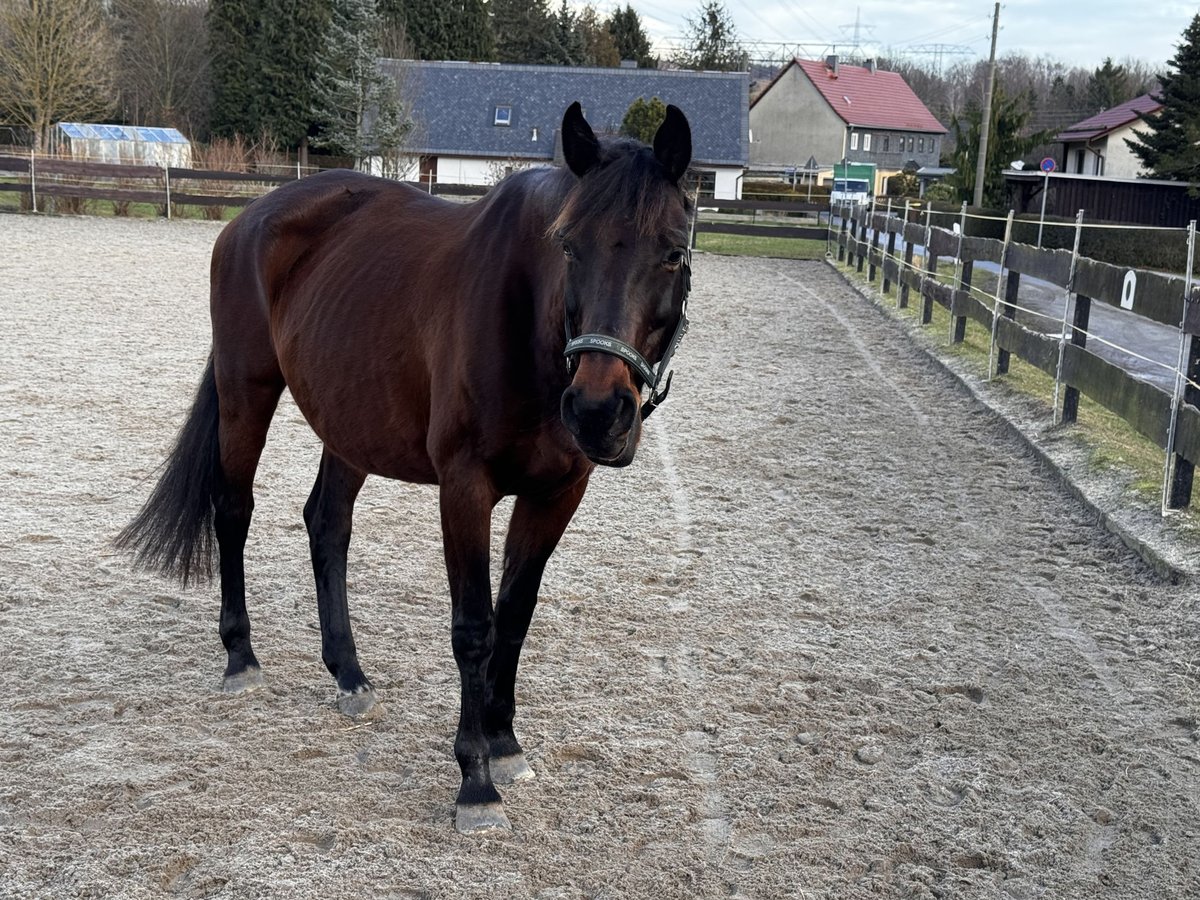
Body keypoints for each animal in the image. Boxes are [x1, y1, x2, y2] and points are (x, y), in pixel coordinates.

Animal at [114, 102, 696, 835]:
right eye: (568, 246)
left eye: (673, 252)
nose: (596, 411)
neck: (528, 326)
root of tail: (252, 218)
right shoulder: (465, 488)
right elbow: (474, 628)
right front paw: (475, 779)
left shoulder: (558, 493)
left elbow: (515, 616)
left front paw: (505, 743)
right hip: (247, 391)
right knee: (234, 511)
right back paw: (241, 657)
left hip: (348, 422)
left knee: (327, 524)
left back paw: (348, 674)